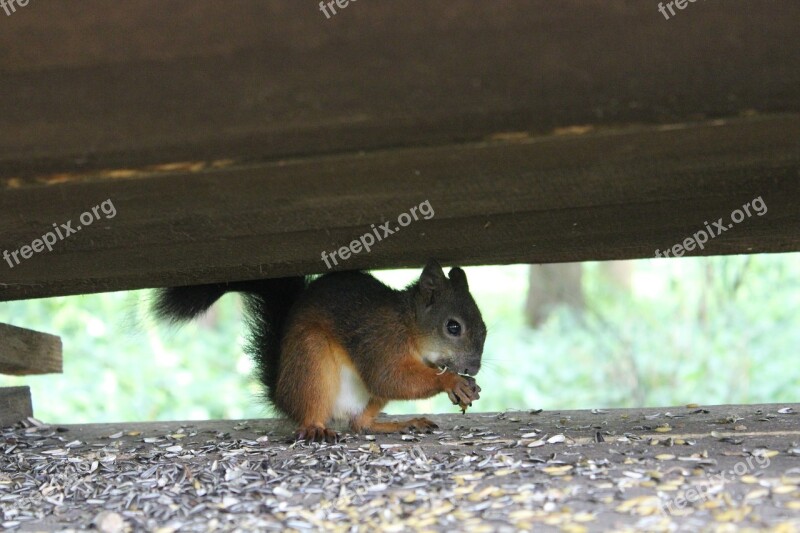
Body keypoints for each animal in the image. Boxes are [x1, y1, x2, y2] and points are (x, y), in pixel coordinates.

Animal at [153, 260, 484, 440]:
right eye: (453, 327)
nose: (474, 368)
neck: (410, 326)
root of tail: (282, 395)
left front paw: (465, 386)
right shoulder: (379, 340)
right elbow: (387, 377)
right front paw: (452, 381)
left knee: (359, 424)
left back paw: (399, 423)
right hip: (310, 358)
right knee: (315, 412)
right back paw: (315, 428)